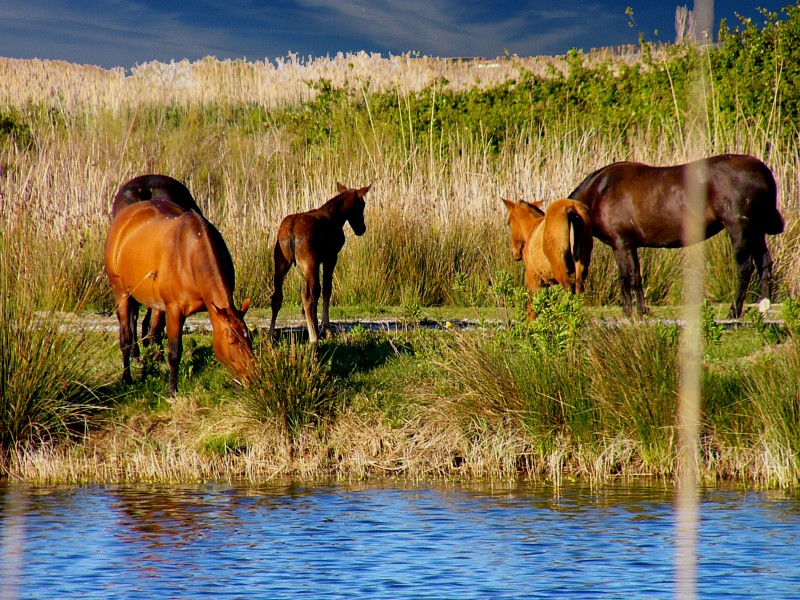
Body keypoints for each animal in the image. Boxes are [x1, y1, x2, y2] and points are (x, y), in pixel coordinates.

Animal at [104, 198, 252, 394]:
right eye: (232, 342)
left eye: (249, 339)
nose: (251, 378)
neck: (191, 254)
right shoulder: (174, 310)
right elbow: (174, 351)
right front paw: (172, 389)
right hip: (122, 294)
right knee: (126, 338)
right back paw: (127, 378)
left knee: (153, 331)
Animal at [268, 183, 368, 342]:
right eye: (362, 205)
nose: (361, 229)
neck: (337, 217)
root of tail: (290, 232)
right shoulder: (330, 257)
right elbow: (326, 289)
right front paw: (326, 330)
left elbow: (319, 290)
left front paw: (317, 325)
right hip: (309, 261)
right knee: (307, 294)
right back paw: (313, 337)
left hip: (281, 261)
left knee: (277, 296)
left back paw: (271, 335)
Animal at [568, 154, 788, 318]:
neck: (599, 191)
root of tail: (763, 170)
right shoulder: (624, 245)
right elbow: (632, 277)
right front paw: (637, 311)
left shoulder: (623, 243)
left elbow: (628, 278)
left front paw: (634, 313)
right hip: (755, 229)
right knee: (764, 264)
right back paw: (764, 308)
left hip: (739, 228)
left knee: (745, 267)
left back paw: (733, 313)